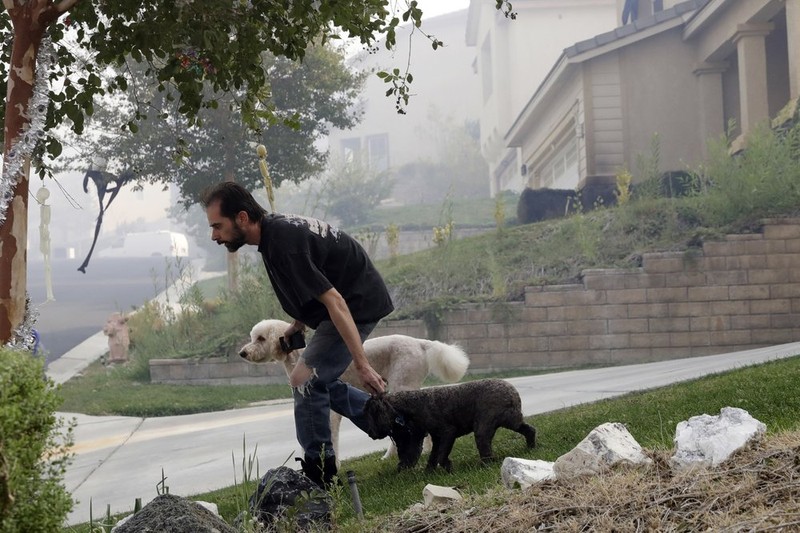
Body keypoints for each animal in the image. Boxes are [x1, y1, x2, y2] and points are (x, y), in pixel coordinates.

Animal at [241, 318, 472, 460]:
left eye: (260, 338)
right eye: (253, 338)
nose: (243, 353)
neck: (301, 358)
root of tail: (421, 343)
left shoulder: (329, 411)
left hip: (402, 382)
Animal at [364, 378, 536, 470]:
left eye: (372, 414)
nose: (370, 433)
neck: (412, 404)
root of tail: (512, 392)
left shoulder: (447, 433)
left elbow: (441, 455)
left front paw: (446, 467)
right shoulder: (437, 437)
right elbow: (434, 456)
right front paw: (430, 471)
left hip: (483, 428)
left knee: (486, 449)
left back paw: (485, 464)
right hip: (512, 421)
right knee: (530, 430)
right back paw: (531, 447)